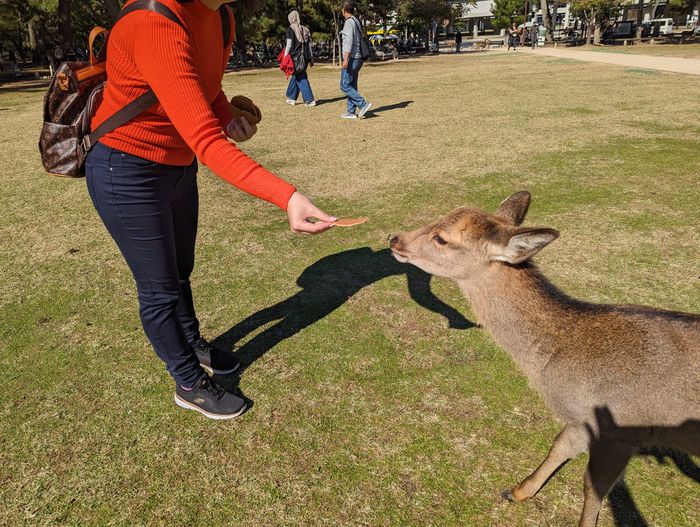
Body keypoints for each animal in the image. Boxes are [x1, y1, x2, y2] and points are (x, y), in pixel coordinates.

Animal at [388, 191, 700, 527]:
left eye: (441, 238)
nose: (395, 238)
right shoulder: (581, 418)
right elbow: (559, 445)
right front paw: (517, 491)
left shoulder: (619, 432)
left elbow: (593, 486)